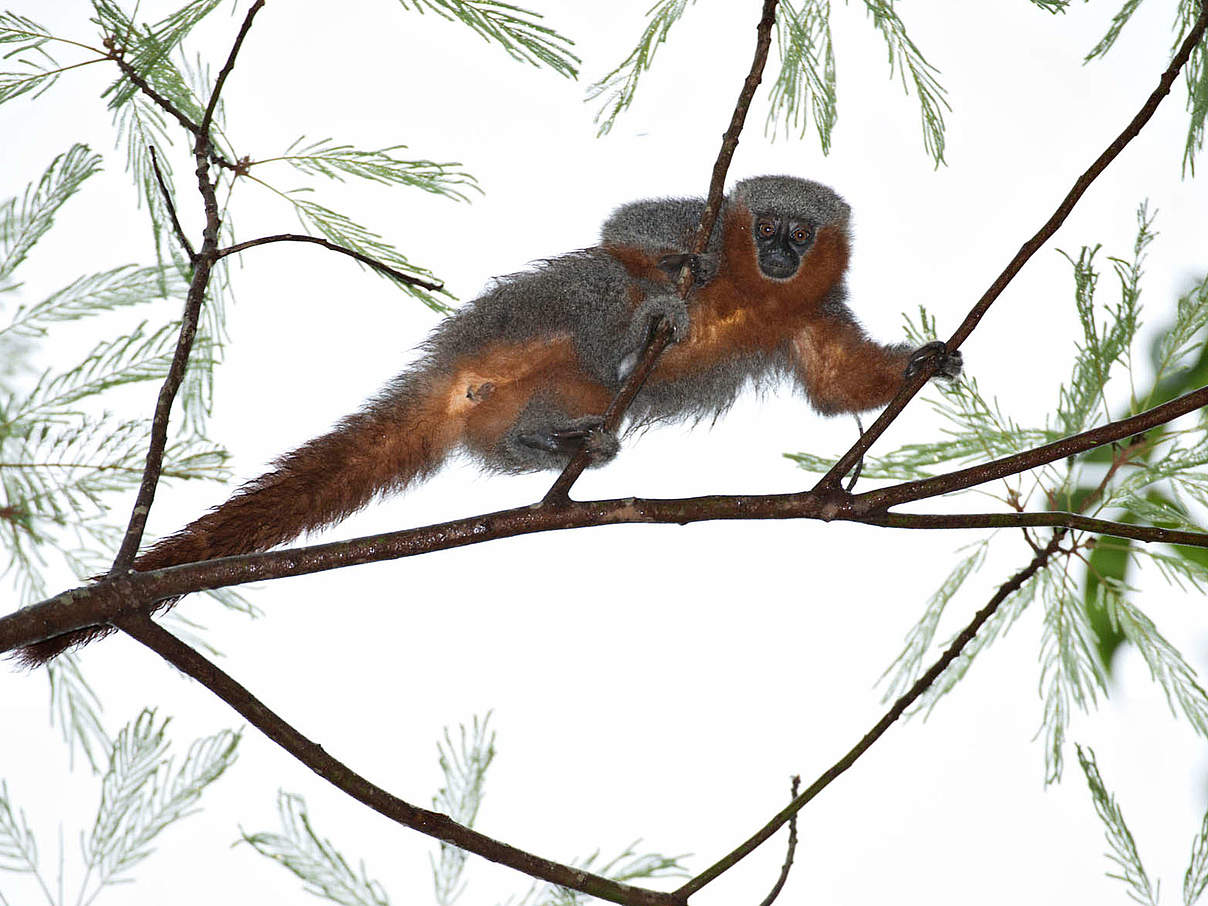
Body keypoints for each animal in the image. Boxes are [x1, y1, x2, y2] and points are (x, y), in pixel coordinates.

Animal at [16, 173, 961, 661]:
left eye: (800, 237)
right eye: (767, 225)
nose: (776, 250)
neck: (755, 288)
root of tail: (455, 370)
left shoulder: (812, 312)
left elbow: (837, 384)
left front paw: (921, 362)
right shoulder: (705, 214)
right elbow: (627, 229)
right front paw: (674, 277)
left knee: (548, 417)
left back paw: (557, 440)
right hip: (521, 314)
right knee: (599, 288)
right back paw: (642, 331)